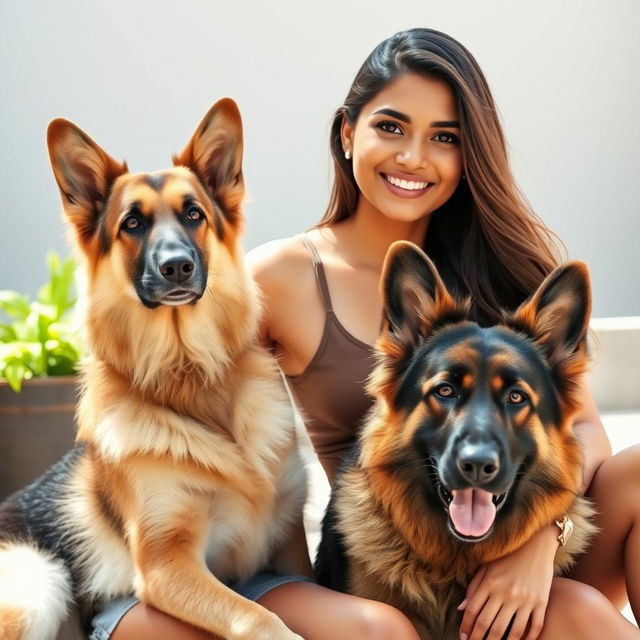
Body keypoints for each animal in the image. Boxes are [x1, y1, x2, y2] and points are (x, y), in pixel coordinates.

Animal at [0, 99, 308, 640]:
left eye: (194, 214)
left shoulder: (291, 544)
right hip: (39, 585)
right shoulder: (167, 563)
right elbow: (257, 617)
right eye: (132, 224)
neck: (190, 376)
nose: (177, 266)